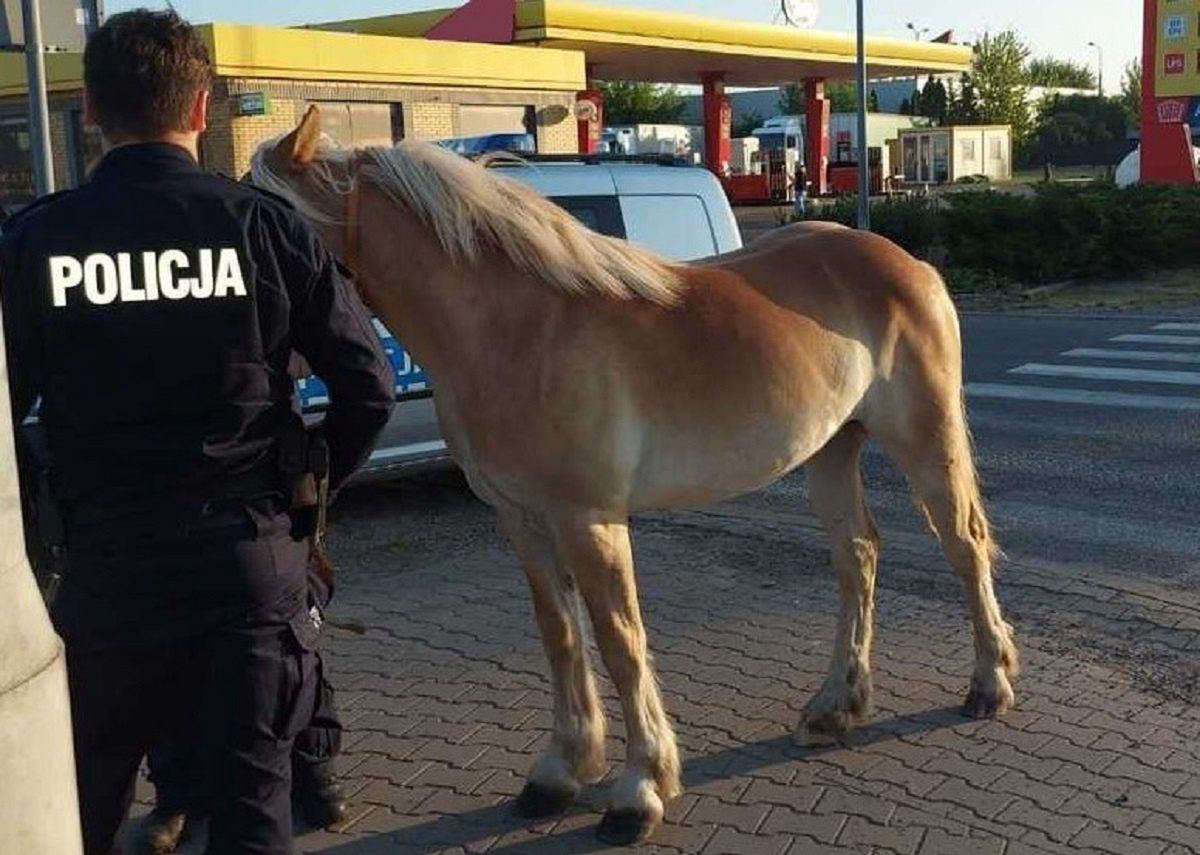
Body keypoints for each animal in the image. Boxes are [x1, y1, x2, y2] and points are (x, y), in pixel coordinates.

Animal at [253, 105, 1022, 840]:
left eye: (270, 232)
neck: (514, 331)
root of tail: (909, 264)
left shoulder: (589, 521)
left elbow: (621, 641)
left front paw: (638, 790)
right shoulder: (522, 521)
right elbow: (561, 635)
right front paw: (560, 771)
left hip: (925, 442)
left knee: (963, 547)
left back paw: (988, 683)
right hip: (832, 449)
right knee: (858, 555)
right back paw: (836, 705)